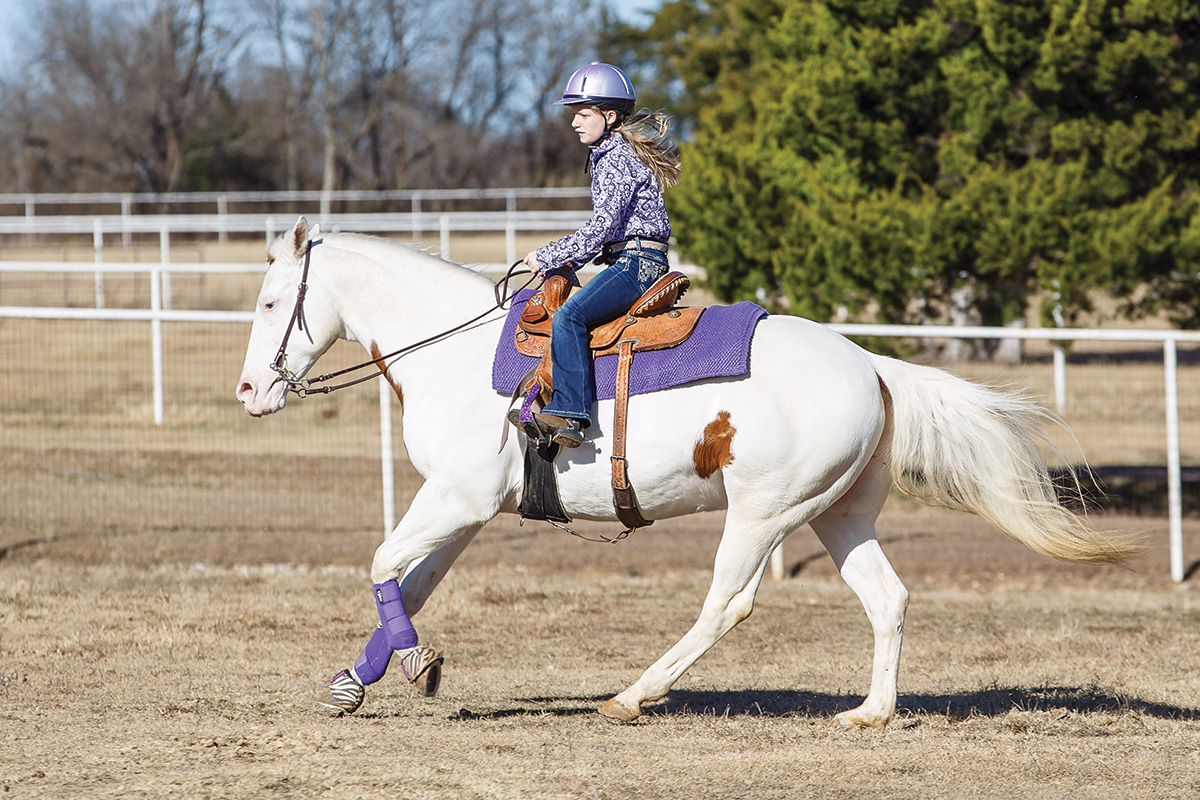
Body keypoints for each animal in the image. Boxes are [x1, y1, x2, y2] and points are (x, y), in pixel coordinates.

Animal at [234, 215, 1132, 729]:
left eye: (273, 303)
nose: (249, 391)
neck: (454, 353)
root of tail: (873, 365)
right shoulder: (467, 509)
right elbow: (408, 584)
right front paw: (355, 683)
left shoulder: (454, 499)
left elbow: (382, 563)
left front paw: (416, 665)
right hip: (837, 515)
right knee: (888, 598)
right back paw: (870, 713)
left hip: (763, 514)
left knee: (727, 605)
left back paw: (634, 695)